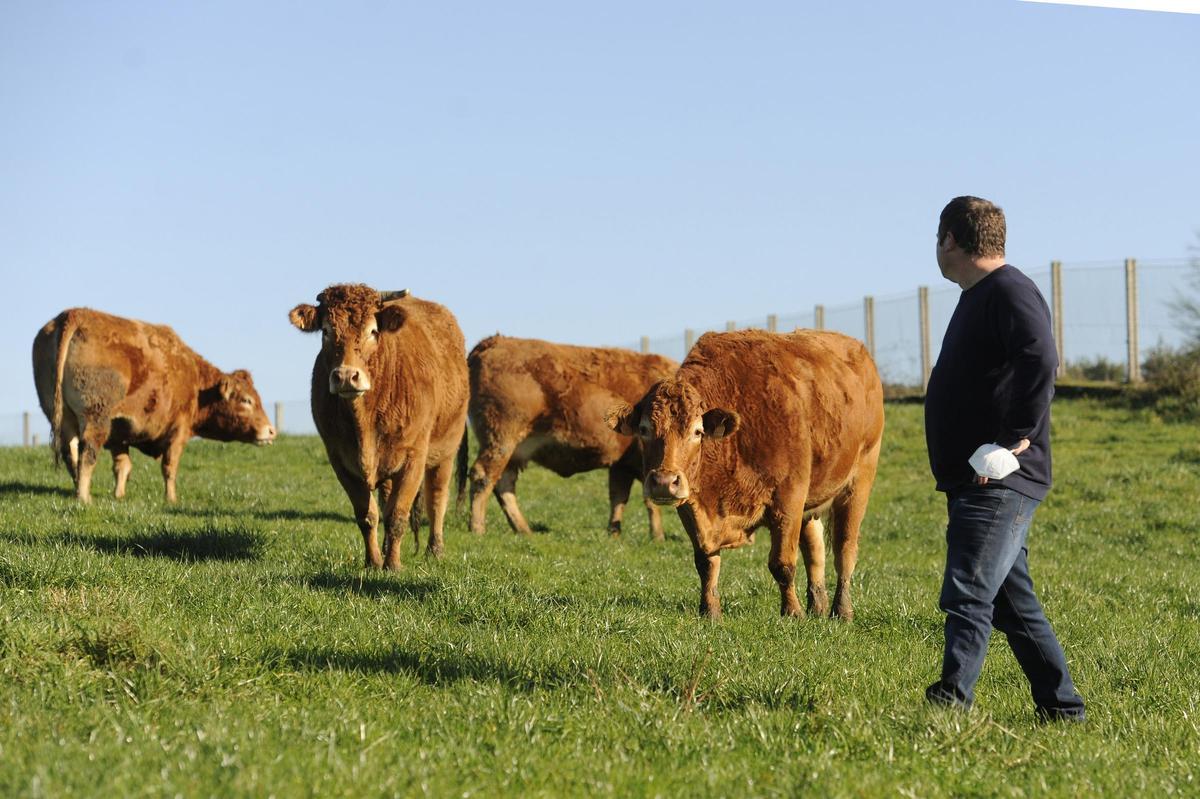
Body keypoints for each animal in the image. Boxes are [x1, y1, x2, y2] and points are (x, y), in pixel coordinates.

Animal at [32, 308, 276, 503]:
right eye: (246, 400)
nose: (271, 430)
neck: (194, 380)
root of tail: (75, 313)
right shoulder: (178, 431)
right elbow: (169, 468)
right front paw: (171, 499)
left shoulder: (118, 435)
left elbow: (122, 466)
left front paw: (119, 496)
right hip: (95, 418)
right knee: (87, 454)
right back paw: (84, 497)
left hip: (63, 418)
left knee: (70, 454)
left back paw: (77, 491)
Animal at [289, 284, 469, 569]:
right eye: (326, 331)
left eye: (373, 331)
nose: (346, 376)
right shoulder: (340, 461)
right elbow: (368, 515)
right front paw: (373, 561)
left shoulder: (414, 458)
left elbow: (397, 515)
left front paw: (393, 565)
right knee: (386, 499)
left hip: (447, 449)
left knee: (437, 498)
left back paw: (434, 549)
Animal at [466, 335, 677, 539]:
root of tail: (491, 342)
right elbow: (650, 500)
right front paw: (658, 536)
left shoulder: (621, 464)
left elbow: (618, 498)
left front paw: (614, 534)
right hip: (501, 441)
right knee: (483, 476)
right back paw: (477, 528)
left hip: (513, 451)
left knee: (504, 483)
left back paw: (523, 529)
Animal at [606, 330, 884, 620]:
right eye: (644, 429)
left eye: (697, 431)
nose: (663, 482)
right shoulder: (691, 508)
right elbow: (706, 562)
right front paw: (710, 610)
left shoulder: (789, 499)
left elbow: (782, 563)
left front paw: (792, 612)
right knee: (815, 549)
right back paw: (817, 605)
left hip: (859, 481)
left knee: (845, 550)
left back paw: (842, 610)